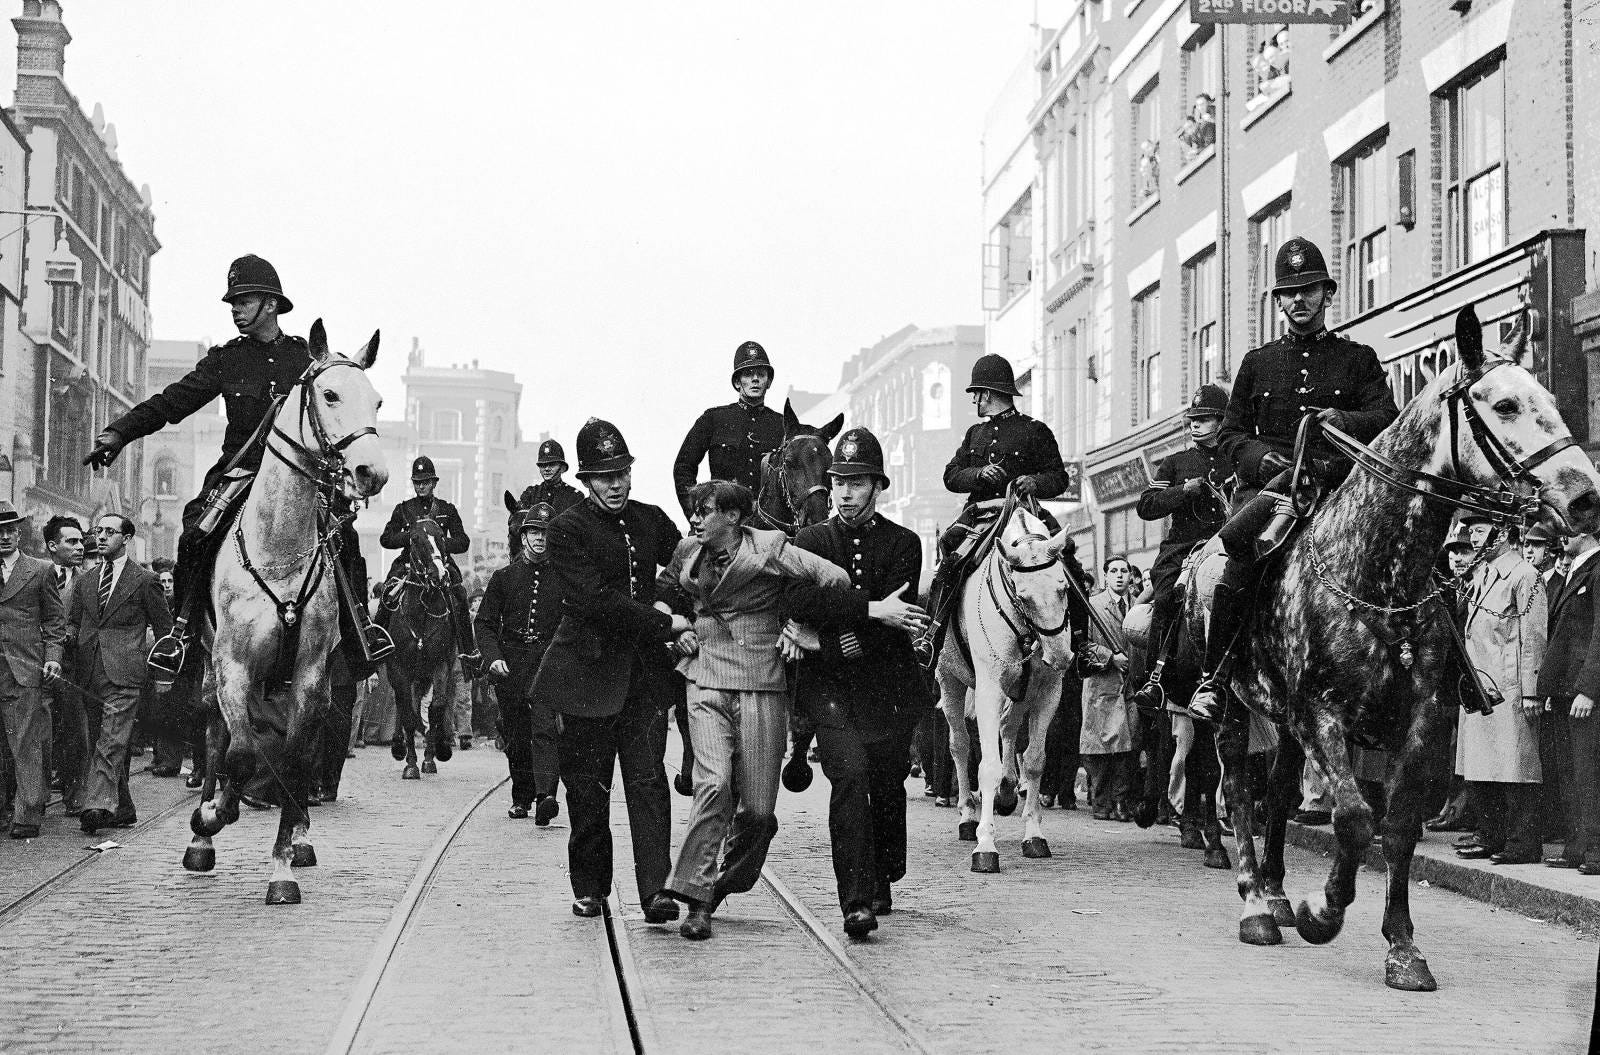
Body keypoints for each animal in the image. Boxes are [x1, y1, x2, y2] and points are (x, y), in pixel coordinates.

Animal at [180, 321, 387, 909]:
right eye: (330, 394)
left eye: (378, 401)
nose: (372, 472)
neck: (278, 547)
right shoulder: (233, 667)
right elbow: (240, 752)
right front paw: (213, 815)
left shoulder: (311, 677)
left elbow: (293, 758)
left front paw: (283, 864)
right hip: (209, 669)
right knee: (214, 733)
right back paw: (204, 832)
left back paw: (297, 835)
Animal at [934, 509, 1075, 870]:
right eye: (1023, 596)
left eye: (1064, 587)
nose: (1060, 657)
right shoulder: (988, 689)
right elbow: (987, 766)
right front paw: (985, 845)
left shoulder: (1048, 690)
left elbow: (1035, 760)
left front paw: (1034, 835)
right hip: (949, 681)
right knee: (959, 745)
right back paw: (968, 815)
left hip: (1022, 690)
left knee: (1009, 728)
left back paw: (1009, 791)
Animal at [1190, 308, 1600, 992]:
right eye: (1506, 403)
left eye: (1549, 398)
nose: (1585, 496)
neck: (1378, 575)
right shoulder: (1323, 712)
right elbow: (1355, 818)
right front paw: (1324, 911)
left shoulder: (1423, 721)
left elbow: (1399, 825)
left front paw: (1402, 946)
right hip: (1234, 707)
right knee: (1238, 786)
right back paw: (1255, 902)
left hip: (1286, 720)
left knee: (1276, 789)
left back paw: (1276, 893)